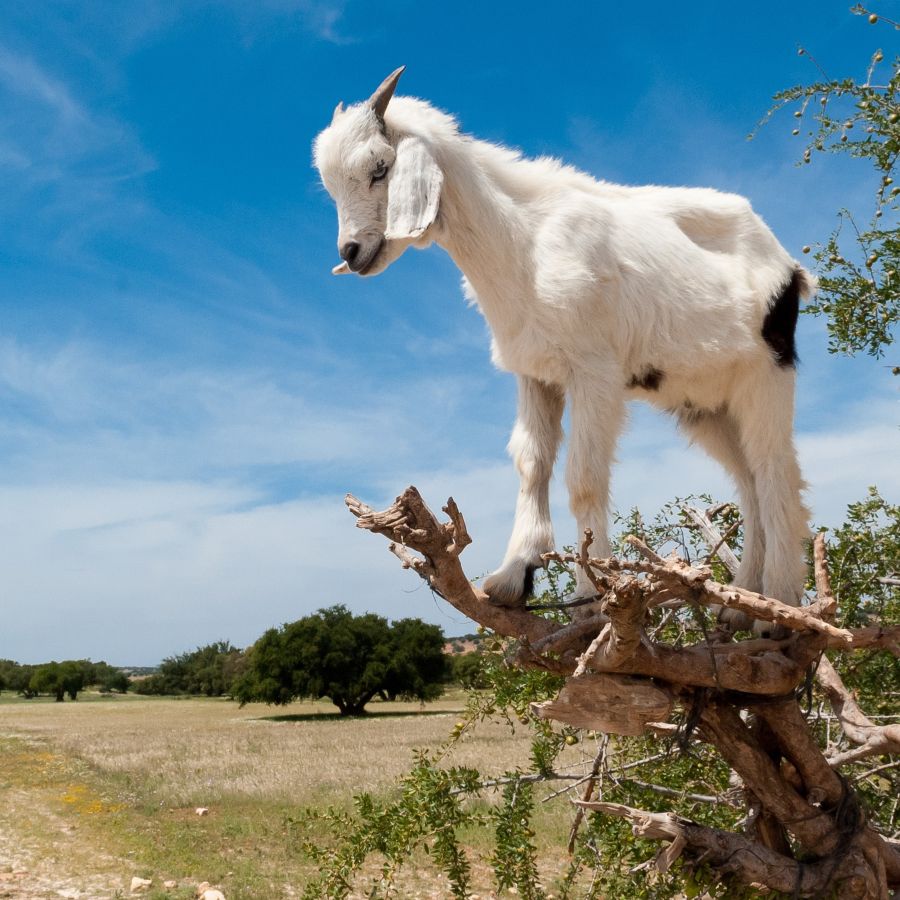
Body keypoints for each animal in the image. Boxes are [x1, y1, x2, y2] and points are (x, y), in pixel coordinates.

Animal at [313, 67, 812, 629]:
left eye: (380, 168)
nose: (352, 252)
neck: (522, 242)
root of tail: (790, 267)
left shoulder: (594, 372)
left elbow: (584, 478)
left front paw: (589, 595)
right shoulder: (536, 372)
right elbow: (532, 463)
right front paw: (513, 576)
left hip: (767, 373)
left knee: (775, 473)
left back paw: (779, 610)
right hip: (705, 402)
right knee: (748, 482)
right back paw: (741, 605)